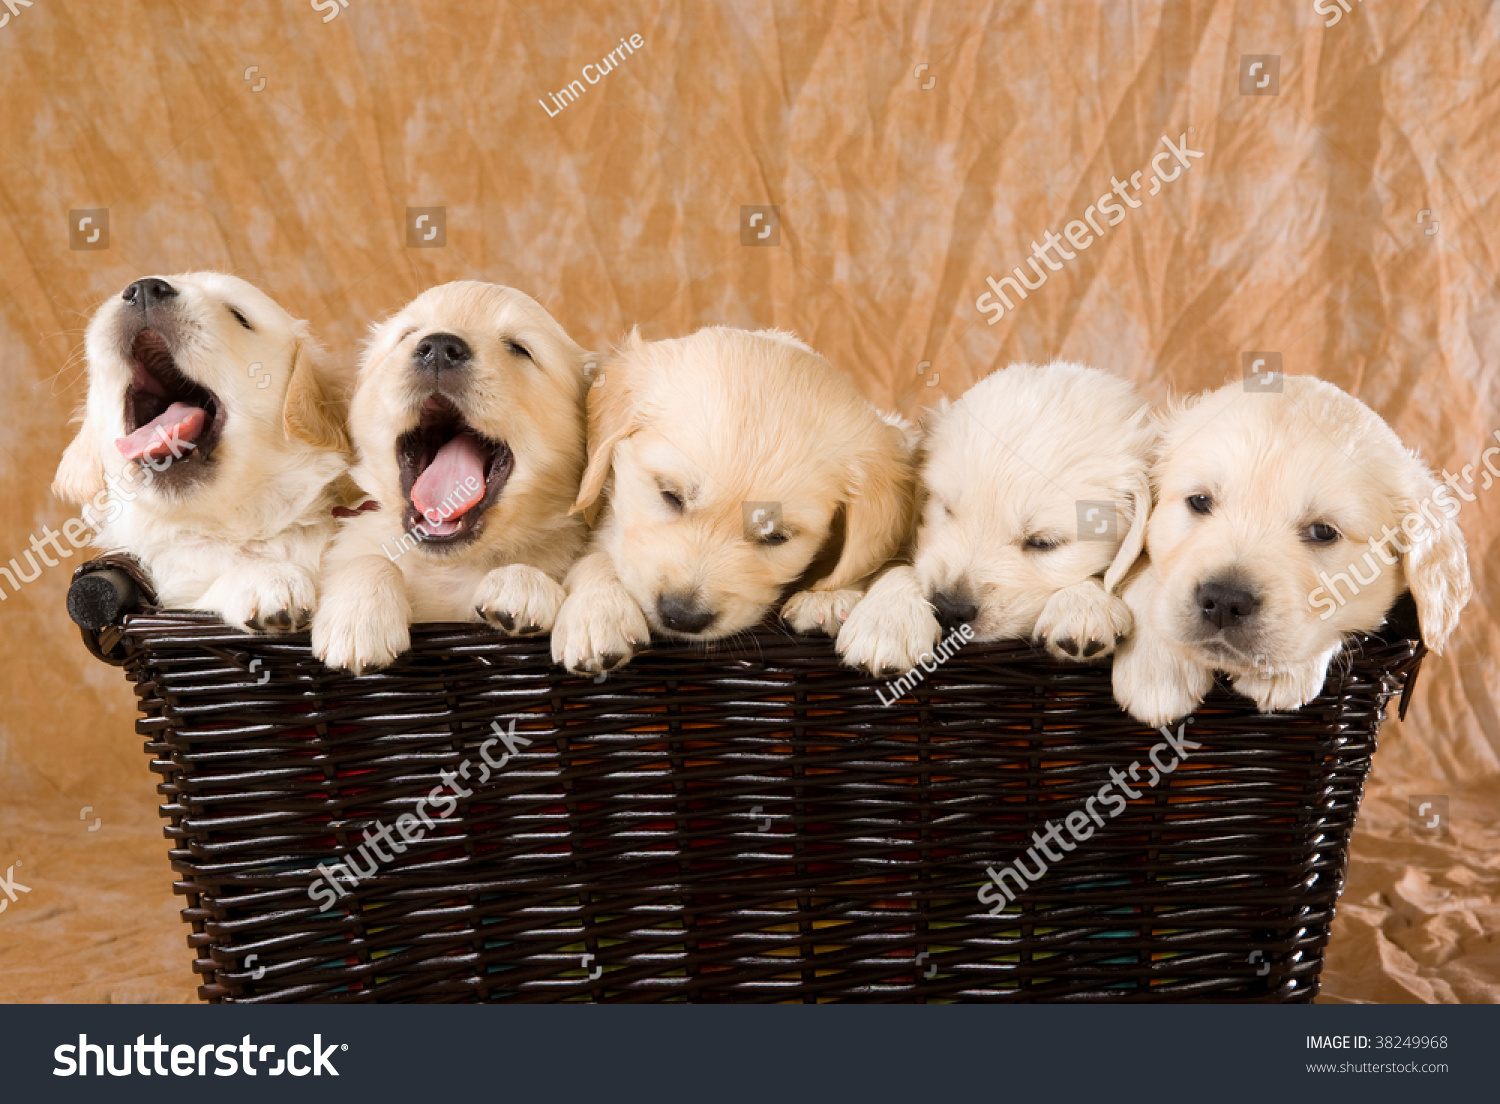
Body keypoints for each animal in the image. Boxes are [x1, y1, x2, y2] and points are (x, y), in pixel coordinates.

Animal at [312, 280, 591, 672]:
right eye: (407, 335)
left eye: (519, 348)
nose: (440, 348)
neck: (449, 565)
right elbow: (371, 558)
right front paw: (357, 619)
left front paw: (521, 583)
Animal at [552, 324, 912, 678]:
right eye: (670, 495)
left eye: (776, 537)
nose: (682, 615)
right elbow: (598, 555)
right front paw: (598, 611)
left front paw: (838, 600)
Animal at [840, 363, 1152, 672]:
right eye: (947, 509)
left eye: (1043, 543)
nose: (950, 609)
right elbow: (901, 567)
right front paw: (888, 620)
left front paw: (1084, 605)